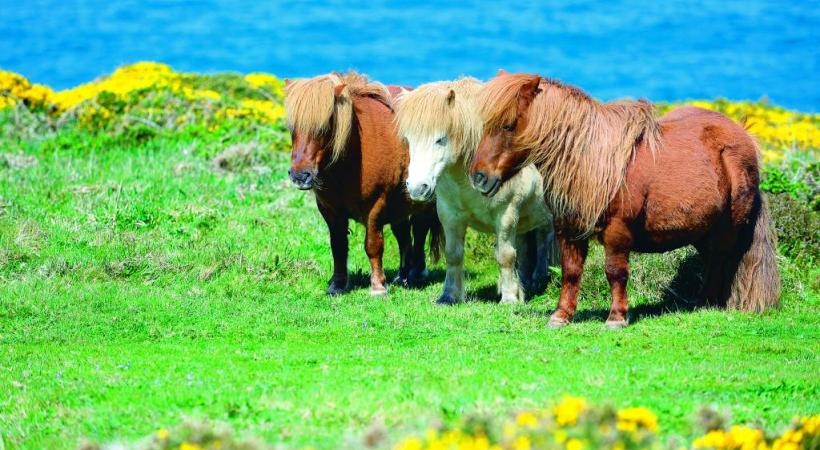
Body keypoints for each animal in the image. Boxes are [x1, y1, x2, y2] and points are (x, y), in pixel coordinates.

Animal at [288, 72, 442, 298]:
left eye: (324, 126)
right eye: (291, 127)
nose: (300, 175)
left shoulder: (375, 206)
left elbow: (373, 245)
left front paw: (378, 286)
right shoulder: (329, 210)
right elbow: (338, 246)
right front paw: (338, 284)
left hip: (424, 201)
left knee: (420, 230)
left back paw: (417, 273)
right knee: (403, 235)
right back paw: (402, 275)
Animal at [396, 78, 556, 306]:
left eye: (440, 140)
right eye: (408, 140)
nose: (417, 188)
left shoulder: (506, 215)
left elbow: (505, 256)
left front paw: (509, 298)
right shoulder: (450, 215)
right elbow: (453, 254)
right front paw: (449, 296)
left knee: (544, 238)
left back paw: (538, 280)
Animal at [470, 72, 780, 328]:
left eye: (508, 125)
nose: (478, 177)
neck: (591, 161)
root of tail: (744, 135)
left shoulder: (617, 232)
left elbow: (615, 272)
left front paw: (616, 318)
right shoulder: (568, 230)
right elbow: (571, 272)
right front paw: (561, 316)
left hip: (726, 229)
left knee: (720, 261)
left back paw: (706, 305)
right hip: (704, 231)